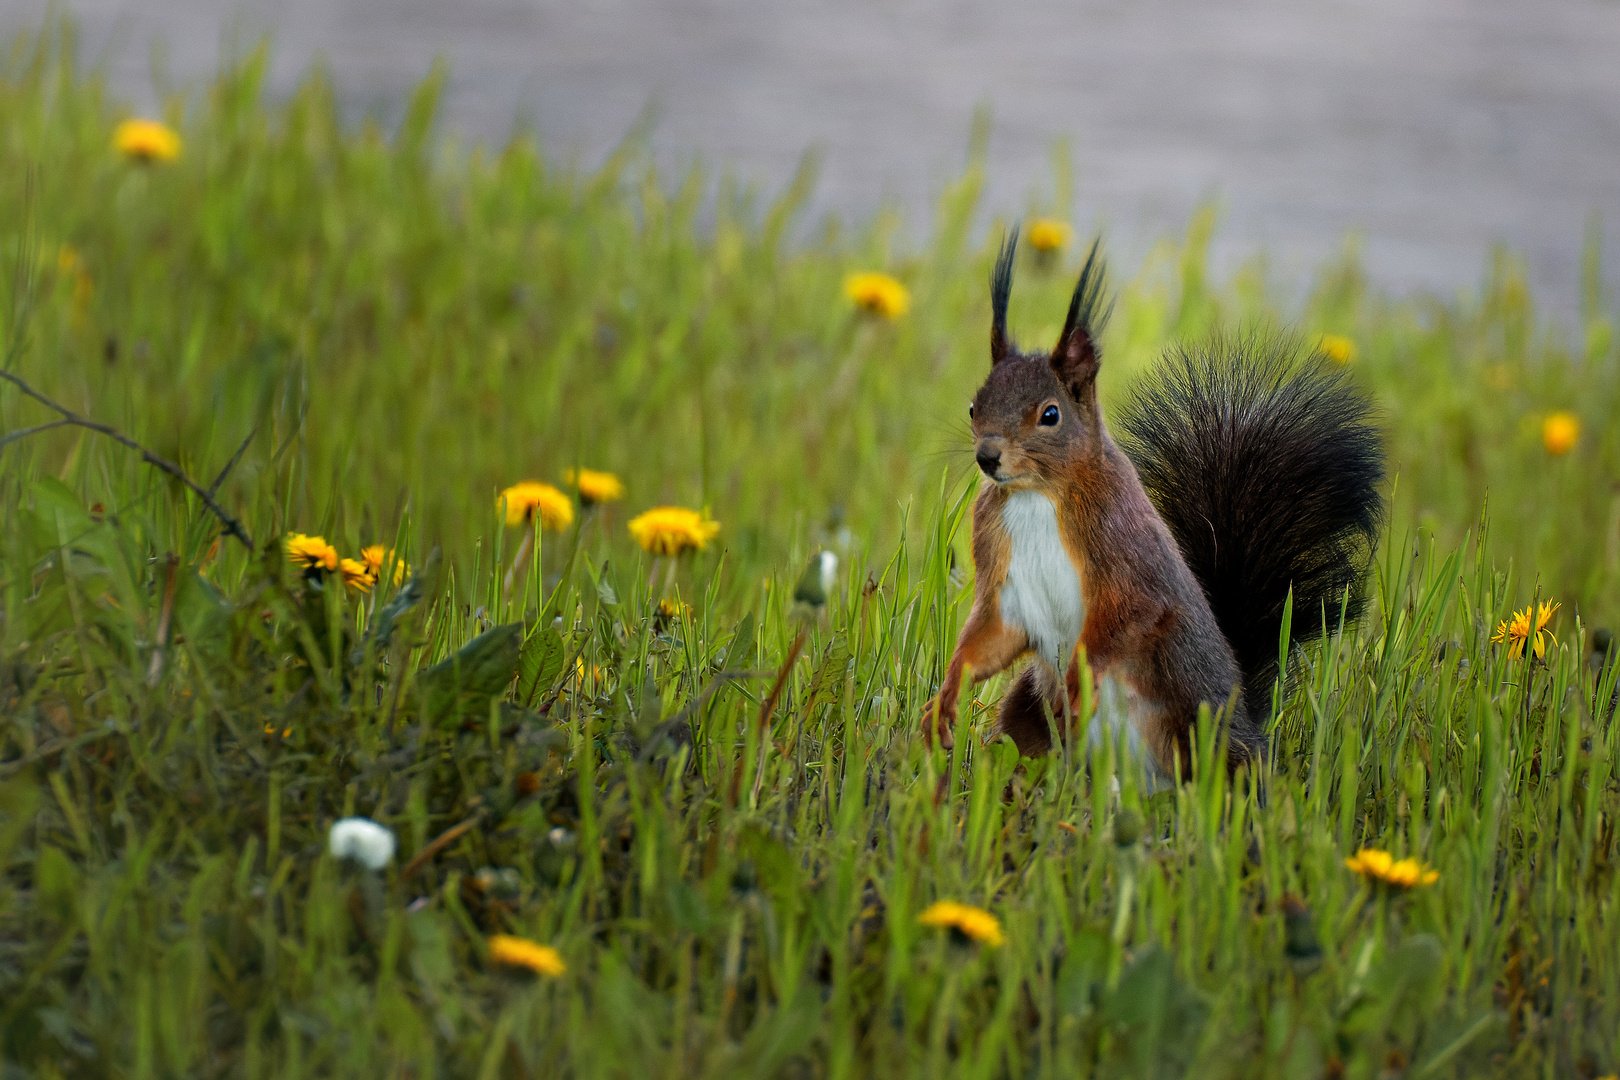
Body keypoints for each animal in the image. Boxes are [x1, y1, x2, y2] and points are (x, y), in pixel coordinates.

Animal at [926, 234, 1380, 777]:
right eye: (974, 406)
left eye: (1050, 415)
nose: (988, 456)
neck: (1036, 494)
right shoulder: (1005, 574)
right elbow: (992, 635)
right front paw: (945, 698)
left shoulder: (1127, 552)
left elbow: (1131, 616)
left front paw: (1078, 683)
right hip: (1026, 715)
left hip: (1207, 731)